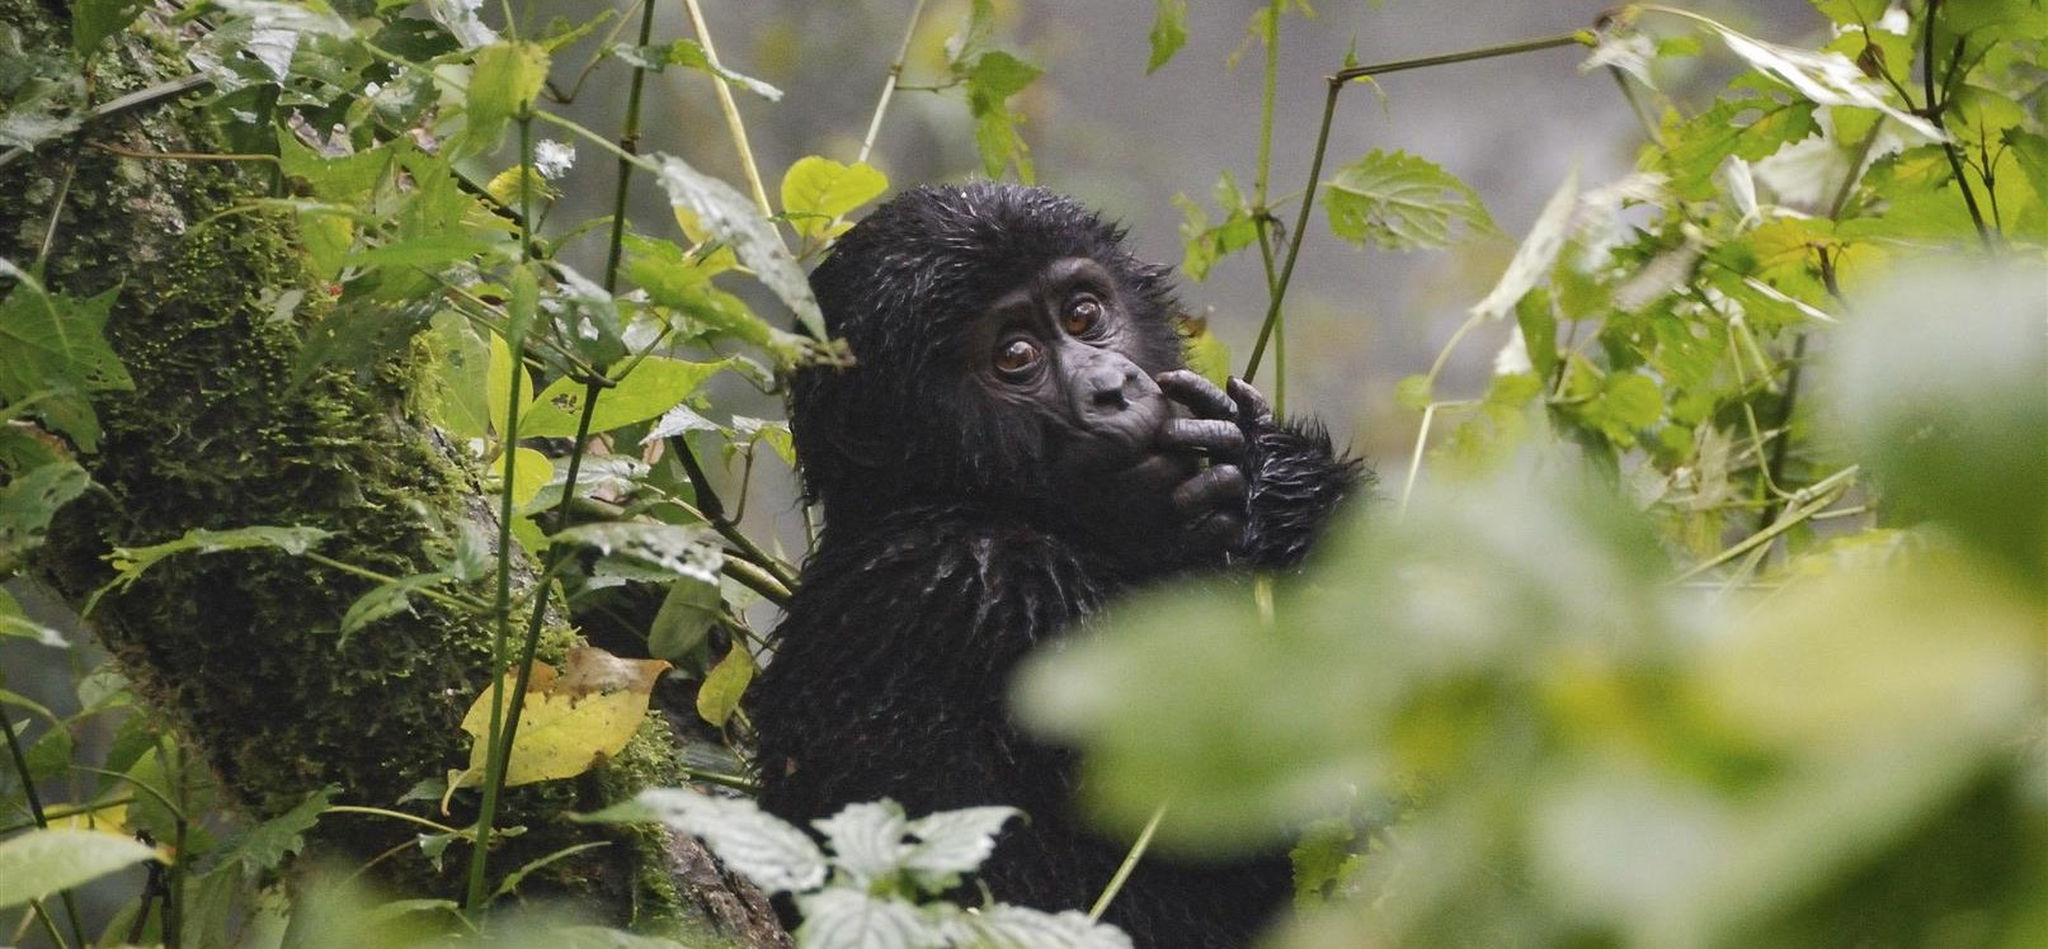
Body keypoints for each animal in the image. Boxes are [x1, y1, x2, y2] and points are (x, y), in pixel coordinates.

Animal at [753, 182, 1359, 946]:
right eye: (1015, 354)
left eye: (1082, 314)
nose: (1113, 389)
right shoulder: (977, 582)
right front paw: (1266, 476)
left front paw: (1272, 471)